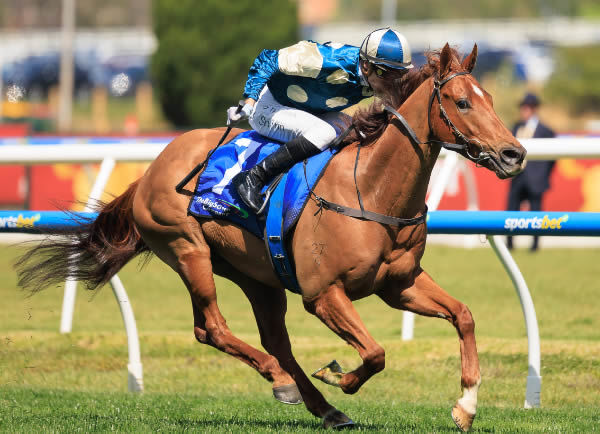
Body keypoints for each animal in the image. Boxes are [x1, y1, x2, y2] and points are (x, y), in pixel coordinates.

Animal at [16, 45, 524, 430]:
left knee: (271, 339)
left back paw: (322, 406)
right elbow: (376, 353)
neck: (372, 188)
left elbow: (464, 316)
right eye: (461, 102)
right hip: (187, 248)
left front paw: (466, 406)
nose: (513, 154)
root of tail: (152, 168)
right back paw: (282, 380)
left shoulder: (399, 284)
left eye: (490, 98)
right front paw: (339, 376)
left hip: (256, 275)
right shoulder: (323, 294)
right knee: (213, 327)